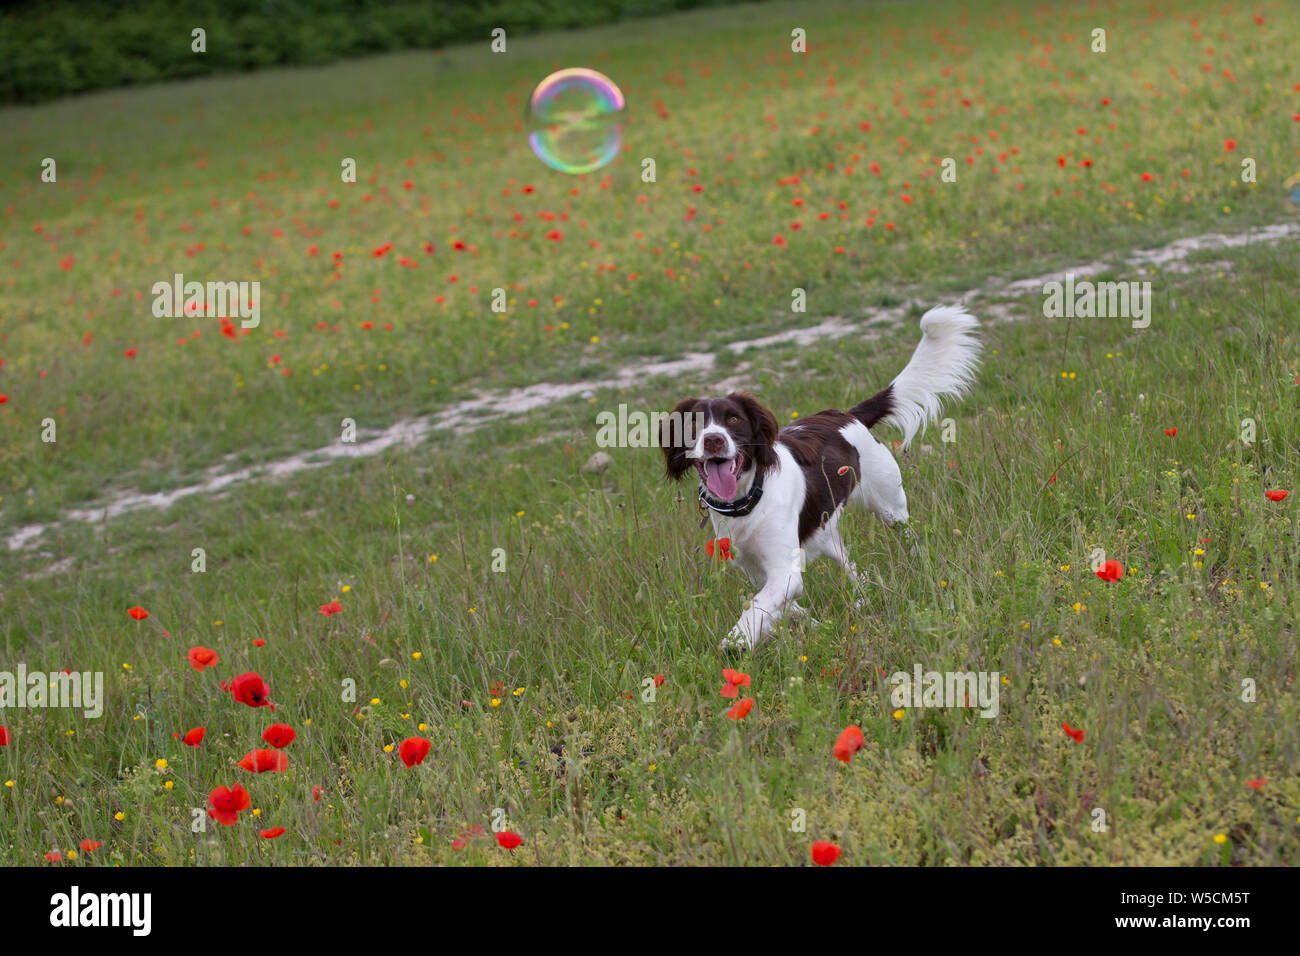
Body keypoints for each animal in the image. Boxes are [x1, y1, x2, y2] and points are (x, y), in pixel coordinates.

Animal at [665, 306, 977, 650]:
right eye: (693, 423)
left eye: (733, 419)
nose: (713, 440)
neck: (748, 500)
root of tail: (847, 414)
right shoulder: (755, 569)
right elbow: (780, 605)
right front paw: (808, 624)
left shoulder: (783, 571)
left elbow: (758, 606)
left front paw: (736, 642)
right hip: (826, 534)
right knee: (853, 568)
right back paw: (863, 600)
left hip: (891, 506)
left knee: (909, 538)